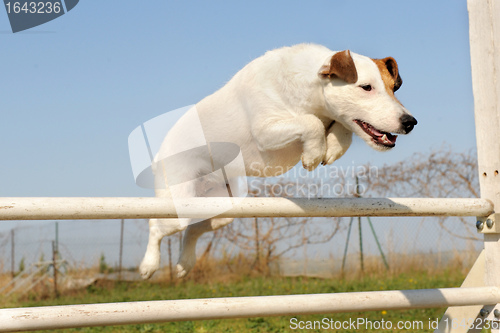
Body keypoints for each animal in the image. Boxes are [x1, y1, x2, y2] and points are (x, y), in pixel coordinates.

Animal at [139, 43, 416, 278]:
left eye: (393, 88)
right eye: (366, 87)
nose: (410, 122)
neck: (306, 89)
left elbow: (341, 128)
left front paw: (332, 148)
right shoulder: (266, 131)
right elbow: (311, 123)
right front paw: (314, 154)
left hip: (222, 206)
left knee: (193, 229)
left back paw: (184, 264)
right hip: (178, 202)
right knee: (156, 225)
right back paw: (148, 266)